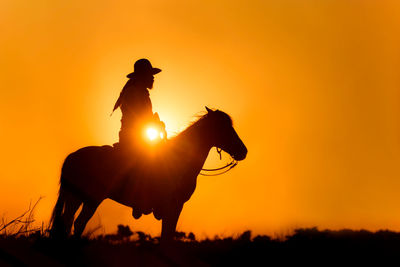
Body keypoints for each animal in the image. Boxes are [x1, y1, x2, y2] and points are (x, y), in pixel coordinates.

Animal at [50, 107, 247, 243]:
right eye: (224, 128)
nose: (243, 151)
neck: (180, 159)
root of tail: (72, 157)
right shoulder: (174, 205)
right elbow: (167, 235)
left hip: (76, 196)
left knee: (68, 222)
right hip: (90, 199)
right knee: (77, 222)